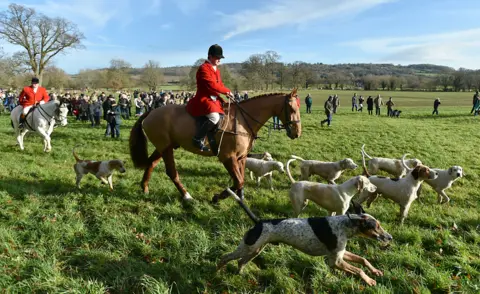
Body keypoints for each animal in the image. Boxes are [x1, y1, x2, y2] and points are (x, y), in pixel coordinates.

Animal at [127, 89, 300, 203]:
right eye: (292, 109)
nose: (297, 133)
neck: (242, 121)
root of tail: (151, 112)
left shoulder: (241, 157)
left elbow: (240, 180)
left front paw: (240, 198)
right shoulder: (227, 157)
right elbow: (238, 181)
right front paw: (218, 197)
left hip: (164, 147)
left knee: (151, 163)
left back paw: (145, 188)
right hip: (166, 148)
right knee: (171, 172)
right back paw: (186, 195)